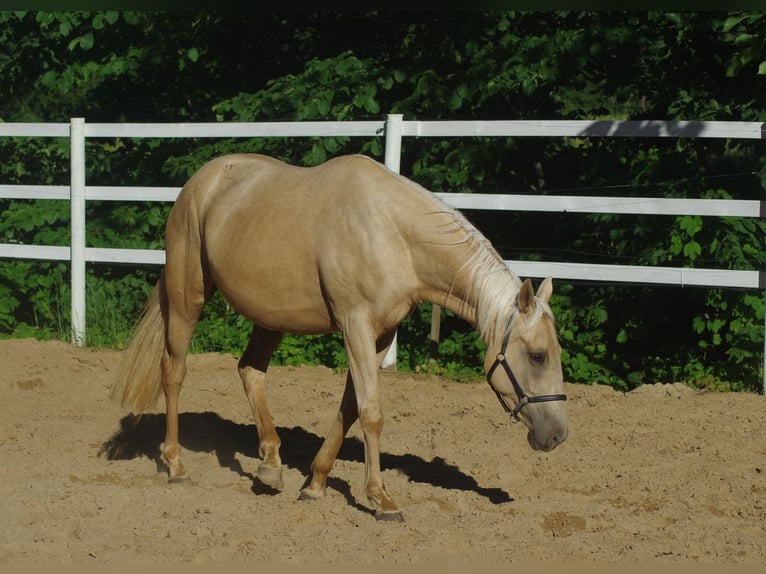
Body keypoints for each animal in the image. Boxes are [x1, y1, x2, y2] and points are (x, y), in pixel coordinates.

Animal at [114, 153, 568, 520]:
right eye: (538, 356)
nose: (557, 435)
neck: (393, 234)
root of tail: (199, 182)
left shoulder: (380, 335)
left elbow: (350, 409)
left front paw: (314, 485)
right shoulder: (356, 326)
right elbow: (371, 413)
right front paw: (381, 500)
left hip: (270, 317)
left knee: (250, 372)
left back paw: (270, 465)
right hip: (187, 297)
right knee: (174, 373)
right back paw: (175, 466)